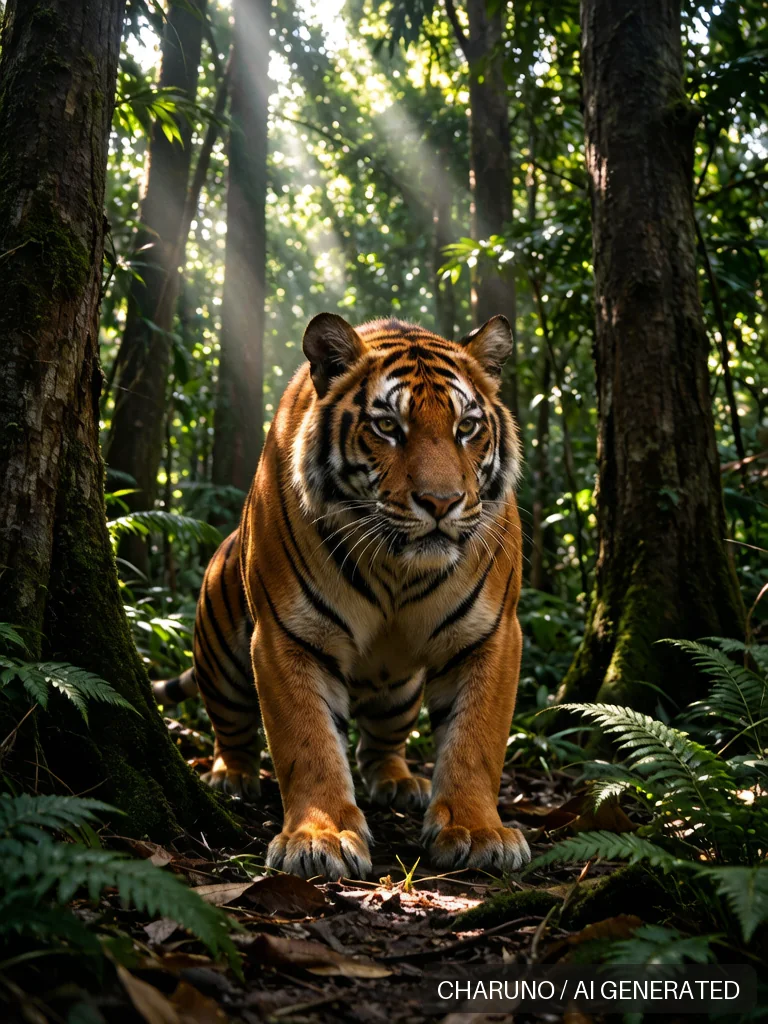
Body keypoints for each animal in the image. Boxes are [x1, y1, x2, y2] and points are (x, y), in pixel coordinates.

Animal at [154, 313, 530, 880]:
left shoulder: (491, 634)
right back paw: (232, 775)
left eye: (466, 427)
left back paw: (400, 781)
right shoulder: (288, 635)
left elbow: (476, 740)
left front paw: (477, 830)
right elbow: (307, 741)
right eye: (387, 427)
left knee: (382, 740)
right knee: (232, 724)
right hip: (219, 657)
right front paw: (320, 837)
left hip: (399, 690)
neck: (398, 566)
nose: (441, 502)